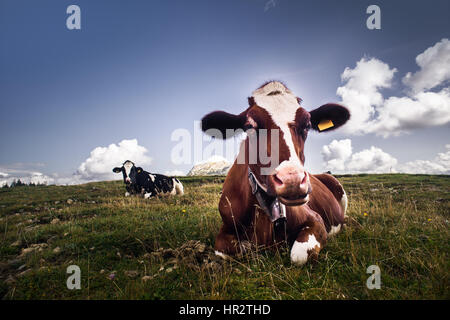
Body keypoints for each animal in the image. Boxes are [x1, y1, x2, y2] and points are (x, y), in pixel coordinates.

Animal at [201, 80, 352, 264]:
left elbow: (298, 255)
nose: (292, 180)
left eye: (307, 125)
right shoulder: (225, 230)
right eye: (249, 126)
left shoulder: (316, 219)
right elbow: (227, 250)